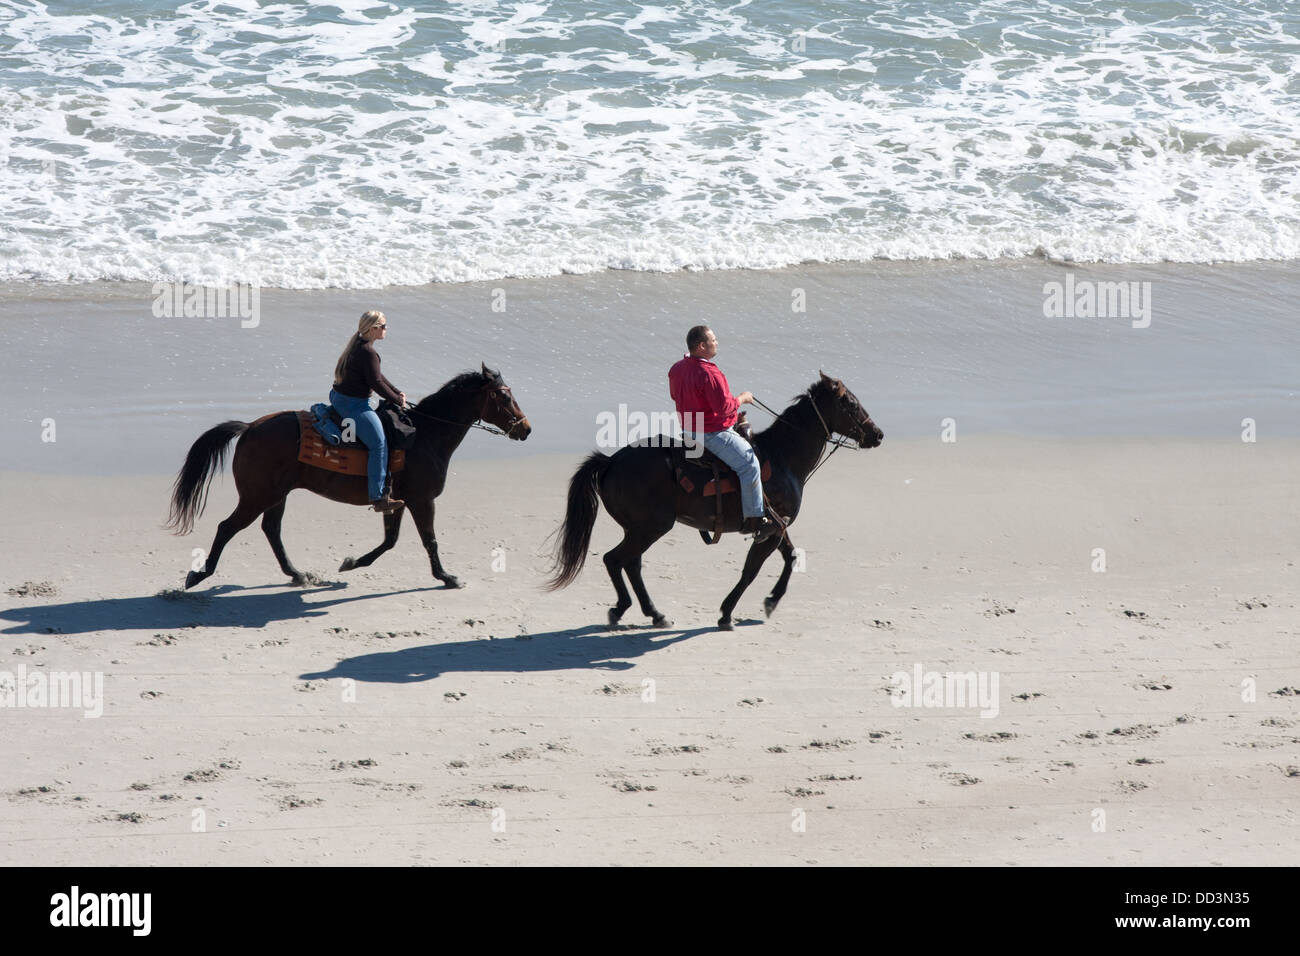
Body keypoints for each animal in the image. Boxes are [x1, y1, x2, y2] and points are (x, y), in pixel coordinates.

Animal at [166, 364, 530, 590]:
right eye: (503, 395)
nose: (526, 428)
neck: (426, 434)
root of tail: (249, 428)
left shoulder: (396, 501)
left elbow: (390, 540)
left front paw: (352, 562)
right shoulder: (421, 500)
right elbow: (429, 540)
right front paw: (446, 577)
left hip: (276, 495)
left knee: (271, 530)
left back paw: (297, 574)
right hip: (257, 496)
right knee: (227, 528)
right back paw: (199, 575)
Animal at [545, 372, 883, 630]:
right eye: (851, 403)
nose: (878, 434)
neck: (783, 457)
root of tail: (611, 461)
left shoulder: (777, 526)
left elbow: (790, 557)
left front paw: (771, 601)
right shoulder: (770, 529)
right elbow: (751, 571)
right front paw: (727, 613)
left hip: (639, 529)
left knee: (631, 564)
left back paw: (654, 613)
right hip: (651, 528)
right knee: (615, 560)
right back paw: (625, 609)